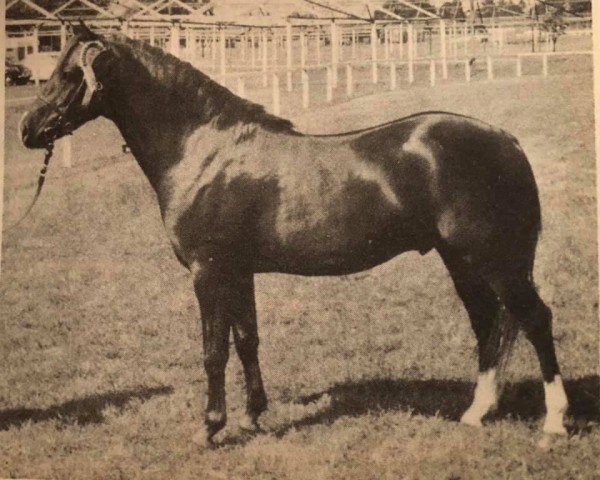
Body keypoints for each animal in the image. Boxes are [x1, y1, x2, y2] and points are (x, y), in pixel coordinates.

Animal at [19, 23, 568, 446]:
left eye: (69, 74)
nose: (27, 128)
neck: (203, 149)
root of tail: (505, 139)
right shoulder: (238, 272)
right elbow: (247, 341)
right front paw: (253, 417)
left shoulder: (208, 272)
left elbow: (213, 350)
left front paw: (210, 428)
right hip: (462, 261)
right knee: (488, 323)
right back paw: (476, 413)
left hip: (497, 261)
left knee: (535, 320)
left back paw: (555, 424)